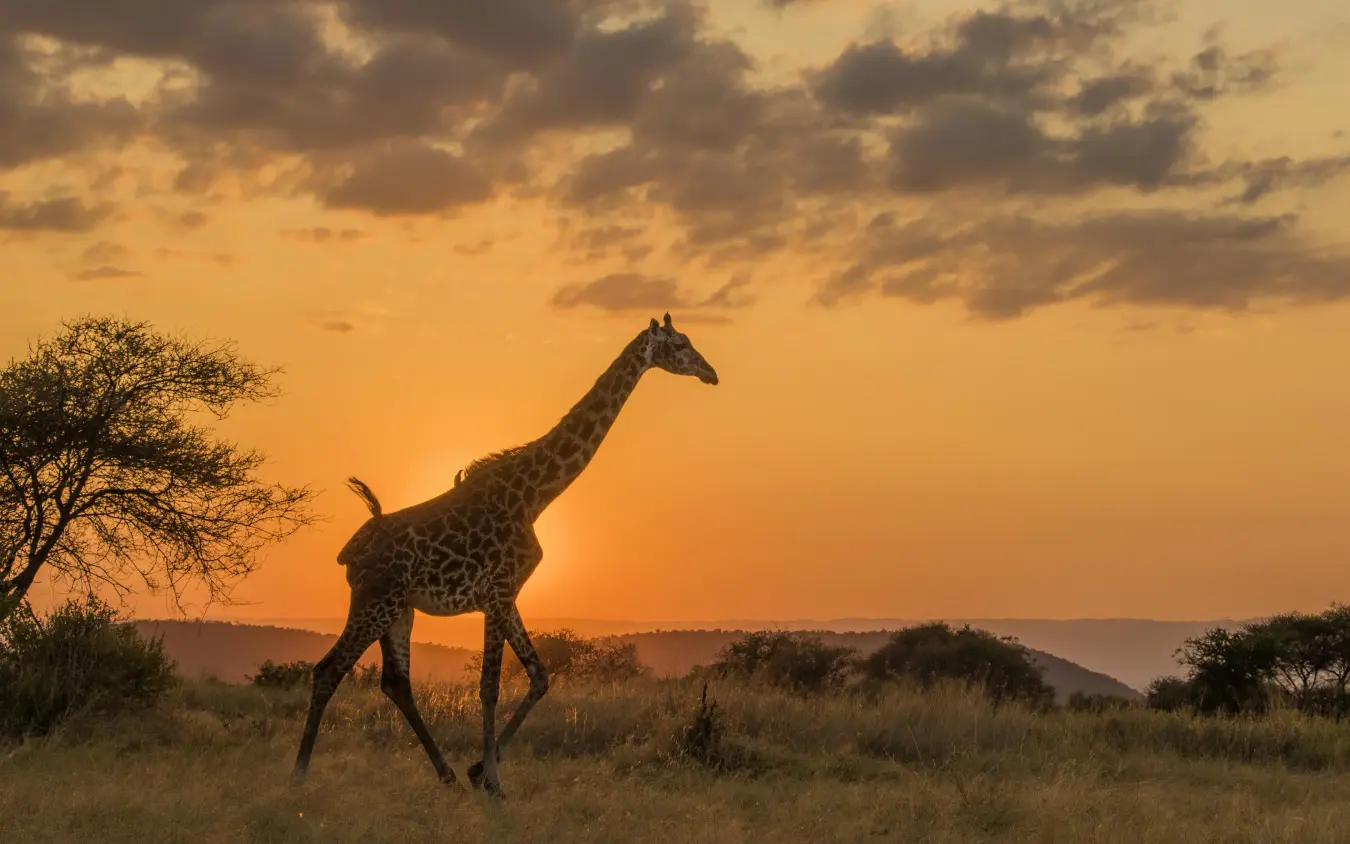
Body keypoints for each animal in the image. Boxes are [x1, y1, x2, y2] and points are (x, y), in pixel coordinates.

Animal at [292, 313, 718, 796]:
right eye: (680, 344)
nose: (711, 373)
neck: (534, 496)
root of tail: (349, 554)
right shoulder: (497, 592)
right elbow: (489, 684)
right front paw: (493, 780)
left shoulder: (506, 594)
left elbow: (539, 675)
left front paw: (480, 770)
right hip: (375, 601)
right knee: (329, 669)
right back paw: (299, 773)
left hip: (399, 608)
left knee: (396, 683)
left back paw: (447, 774)